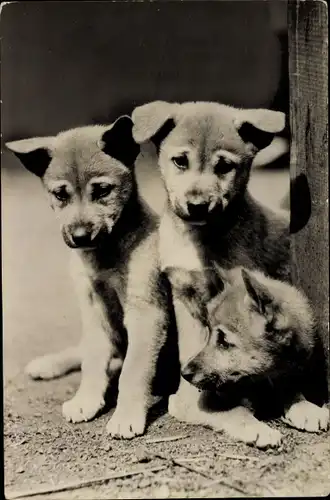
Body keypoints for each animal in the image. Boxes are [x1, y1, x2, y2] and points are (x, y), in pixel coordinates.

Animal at [5, 116, 180, 438]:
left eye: (101, 191)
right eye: (60, 195)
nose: (79, 236)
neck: (106, 256)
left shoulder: (146, 314)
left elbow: (133, 371)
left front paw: (126, 415)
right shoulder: (94, 309)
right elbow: (93, 361)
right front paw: (86, 399)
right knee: (83, 350)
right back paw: (49, 363)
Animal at [169, 268, 328, 448]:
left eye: (224, 340)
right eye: (209, 333)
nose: (185, 374)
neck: (261, 379)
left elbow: (292, 390)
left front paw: (306, 408)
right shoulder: (190, 400)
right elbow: (236, 411)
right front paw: (259, 429)